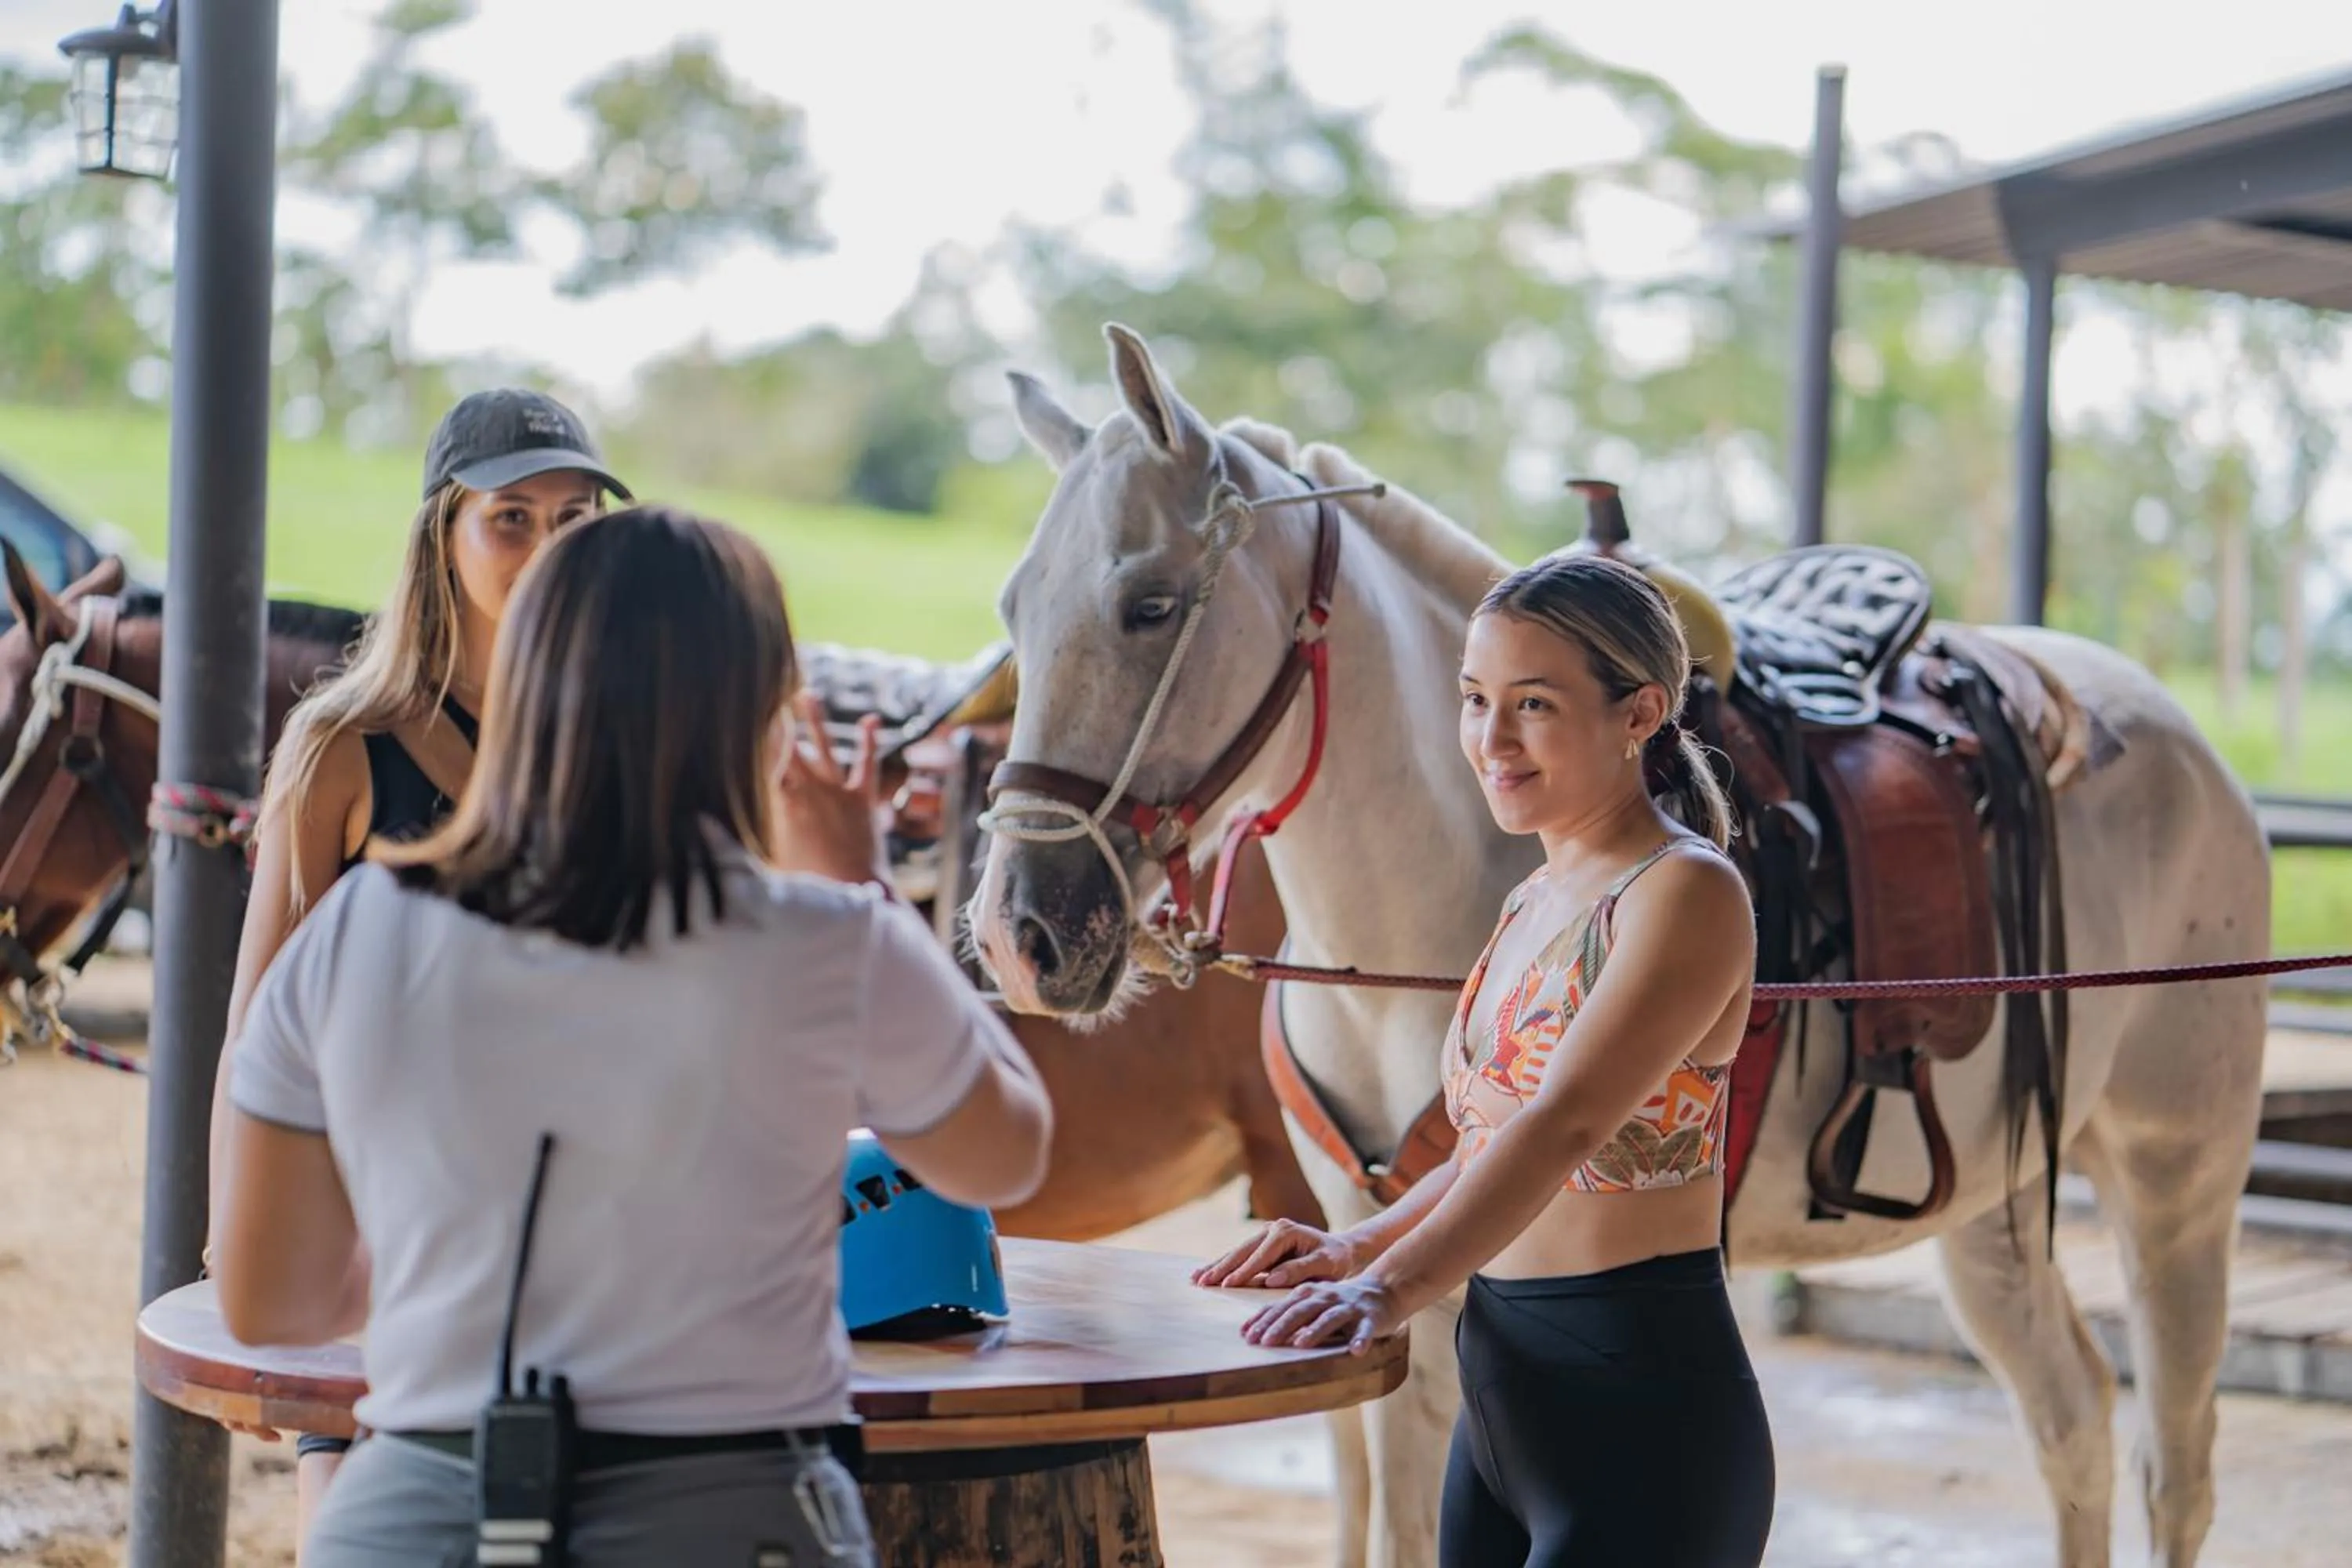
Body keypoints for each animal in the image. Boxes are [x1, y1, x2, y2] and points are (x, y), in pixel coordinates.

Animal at [966, 322, 2271, 1568]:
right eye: (1013, 611)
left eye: (1149, 604)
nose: (1018, 933)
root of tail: (2183, 744)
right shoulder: (1360, 1227)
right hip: (1992, 1212)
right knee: (2073, 1419)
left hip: (2178, 1182)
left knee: (2178, 1464)